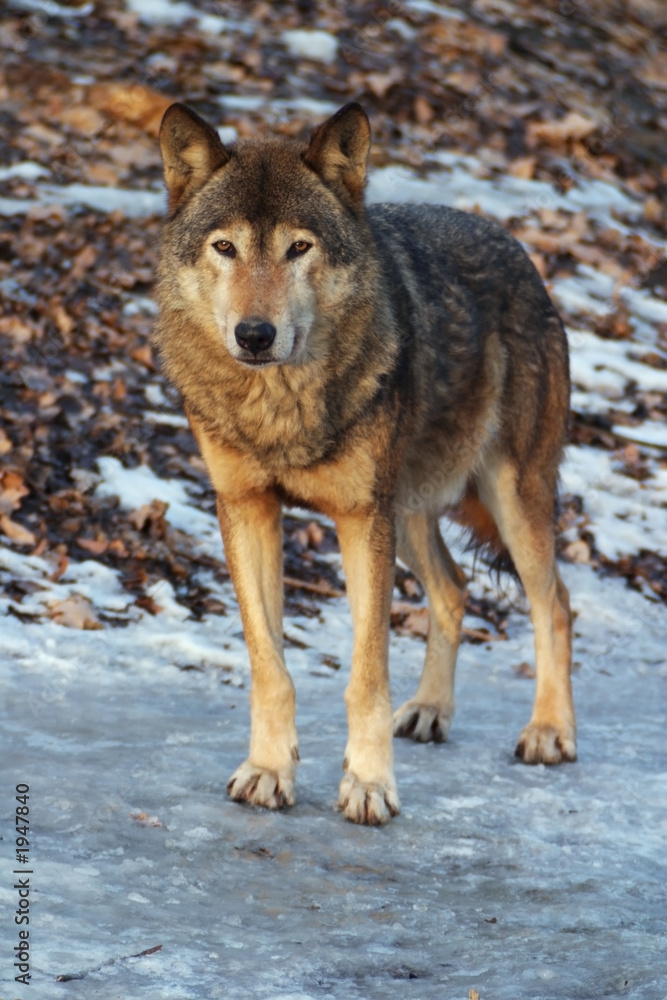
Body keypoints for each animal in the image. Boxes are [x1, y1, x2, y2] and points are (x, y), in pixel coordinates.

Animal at [154, 102, 576, 825]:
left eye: (299, 248)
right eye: (225, 248)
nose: (255, 335)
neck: (280, 407)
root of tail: (518, 250)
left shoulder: (358, 519)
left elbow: (367, 675)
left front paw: (369, 785)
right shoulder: (245, 509)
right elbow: (269, 665)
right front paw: (269, 771)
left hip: (504, 498)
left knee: (555, 604)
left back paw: (550, 731)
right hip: (405, 513)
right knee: (453, 589)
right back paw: (431, 711)